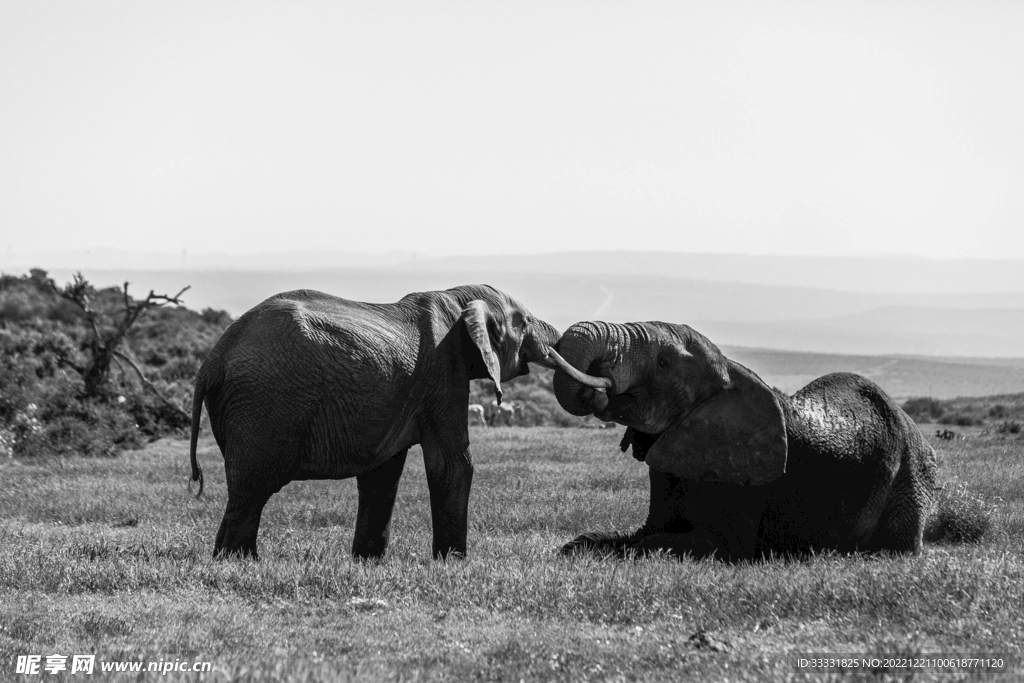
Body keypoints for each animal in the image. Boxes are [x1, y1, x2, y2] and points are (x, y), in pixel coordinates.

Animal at [188, 284, 559, 560]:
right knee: (253, 489)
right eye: (525, 322)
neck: (459, 299)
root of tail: (213, 358)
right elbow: (453, 463)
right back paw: (239, 562)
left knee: (246, 489)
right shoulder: (444, 374)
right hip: (268, 403)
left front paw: (367, 562)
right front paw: (454, 563)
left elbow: (383, 474)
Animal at [546, 320, 938, 561]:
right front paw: (578, 546)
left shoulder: (739, 478)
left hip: (910, 475)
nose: (596, 387)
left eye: (664, 362)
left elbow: (682, 543)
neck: (729, 374)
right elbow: (632, 534)